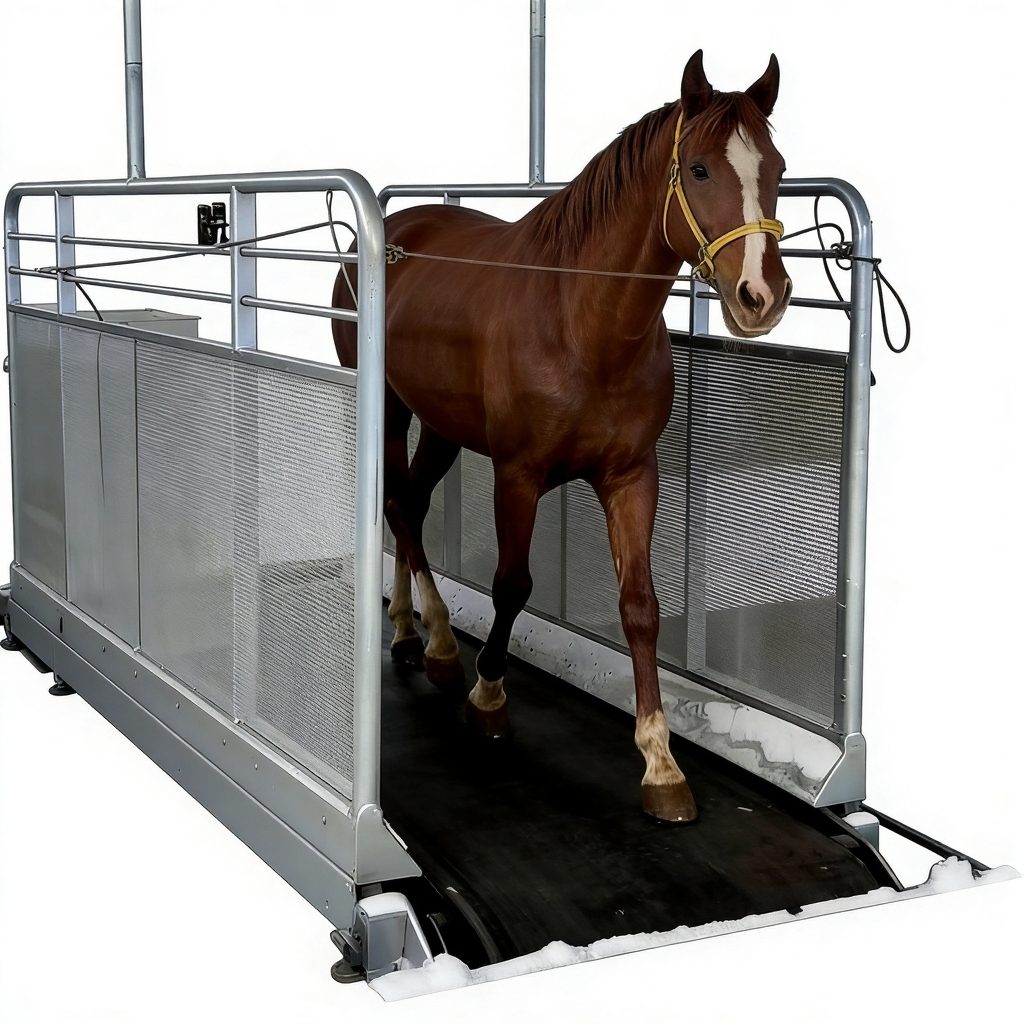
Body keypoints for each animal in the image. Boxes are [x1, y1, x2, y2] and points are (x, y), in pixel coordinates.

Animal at [333, 50, 791, 823]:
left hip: (443, 426)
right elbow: (511, 585)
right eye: (699, 169)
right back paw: (443, 645)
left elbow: (641, 609)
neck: (582, 320)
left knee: (410, 506)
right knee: (397, 505)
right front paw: (489, 696)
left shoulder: (632, 476)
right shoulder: (518, 474)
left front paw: (660, 762)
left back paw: (406, 628)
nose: (762, 296)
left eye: (779, 167)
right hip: (389, 410)